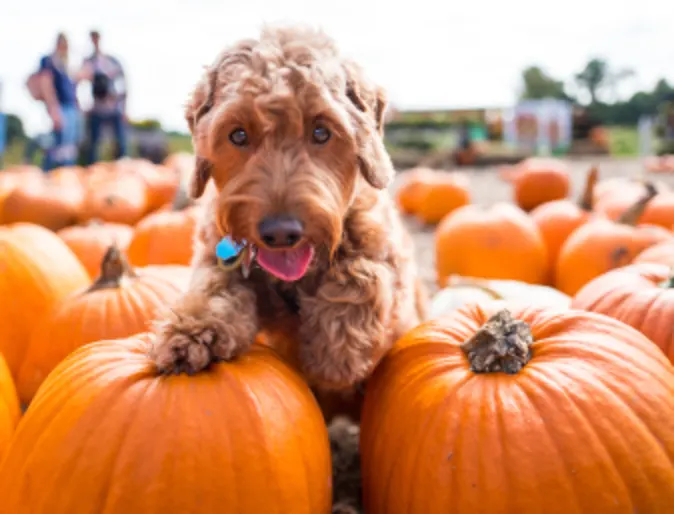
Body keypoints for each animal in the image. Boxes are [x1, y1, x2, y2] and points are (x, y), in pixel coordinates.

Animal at [152, 25, 426, 416]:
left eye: (321, 132)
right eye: (238, 134)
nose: (280, 233)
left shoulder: (389, 269)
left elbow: (363, 276)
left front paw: (335, 355)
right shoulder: (218, 255)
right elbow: (214, 288)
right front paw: (188, 335)